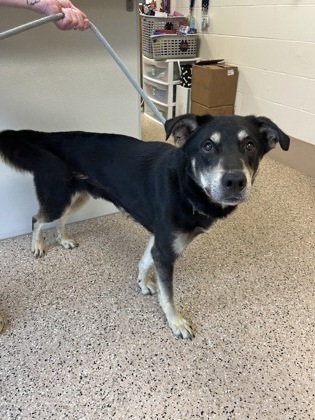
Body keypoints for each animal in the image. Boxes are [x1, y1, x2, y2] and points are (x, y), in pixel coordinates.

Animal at [0, 114, 292, 338]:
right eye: (208, 146)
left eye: (250, 145)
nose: (234, 182)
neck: (184, 183)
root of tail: (50, 136)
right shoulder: (166, 250)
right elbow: (169, 294)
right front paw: (176, 322)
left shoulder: (161, 241)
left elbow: (145, 261)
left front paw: (142, 283)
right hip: (58, 197)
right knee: (37, 219)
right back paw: (37, 246)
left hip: (78, 195)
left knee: (59, 219)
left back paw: (63, 239)